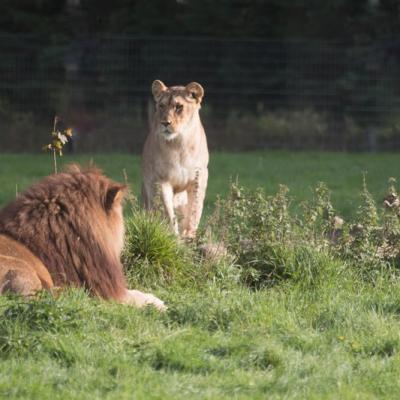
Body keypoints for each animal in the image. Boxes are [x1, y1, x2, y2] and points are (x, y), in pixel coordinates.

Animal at [141, 79, 209, 239]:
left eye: (179, 107)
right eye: (161, 106)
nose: (165, 123)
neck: (179, 145)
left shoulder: (199, 177)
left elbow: (194, 209)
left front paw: (189, 234)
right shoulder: (160, 180)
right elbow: (167, 213)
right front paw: (173, 236)